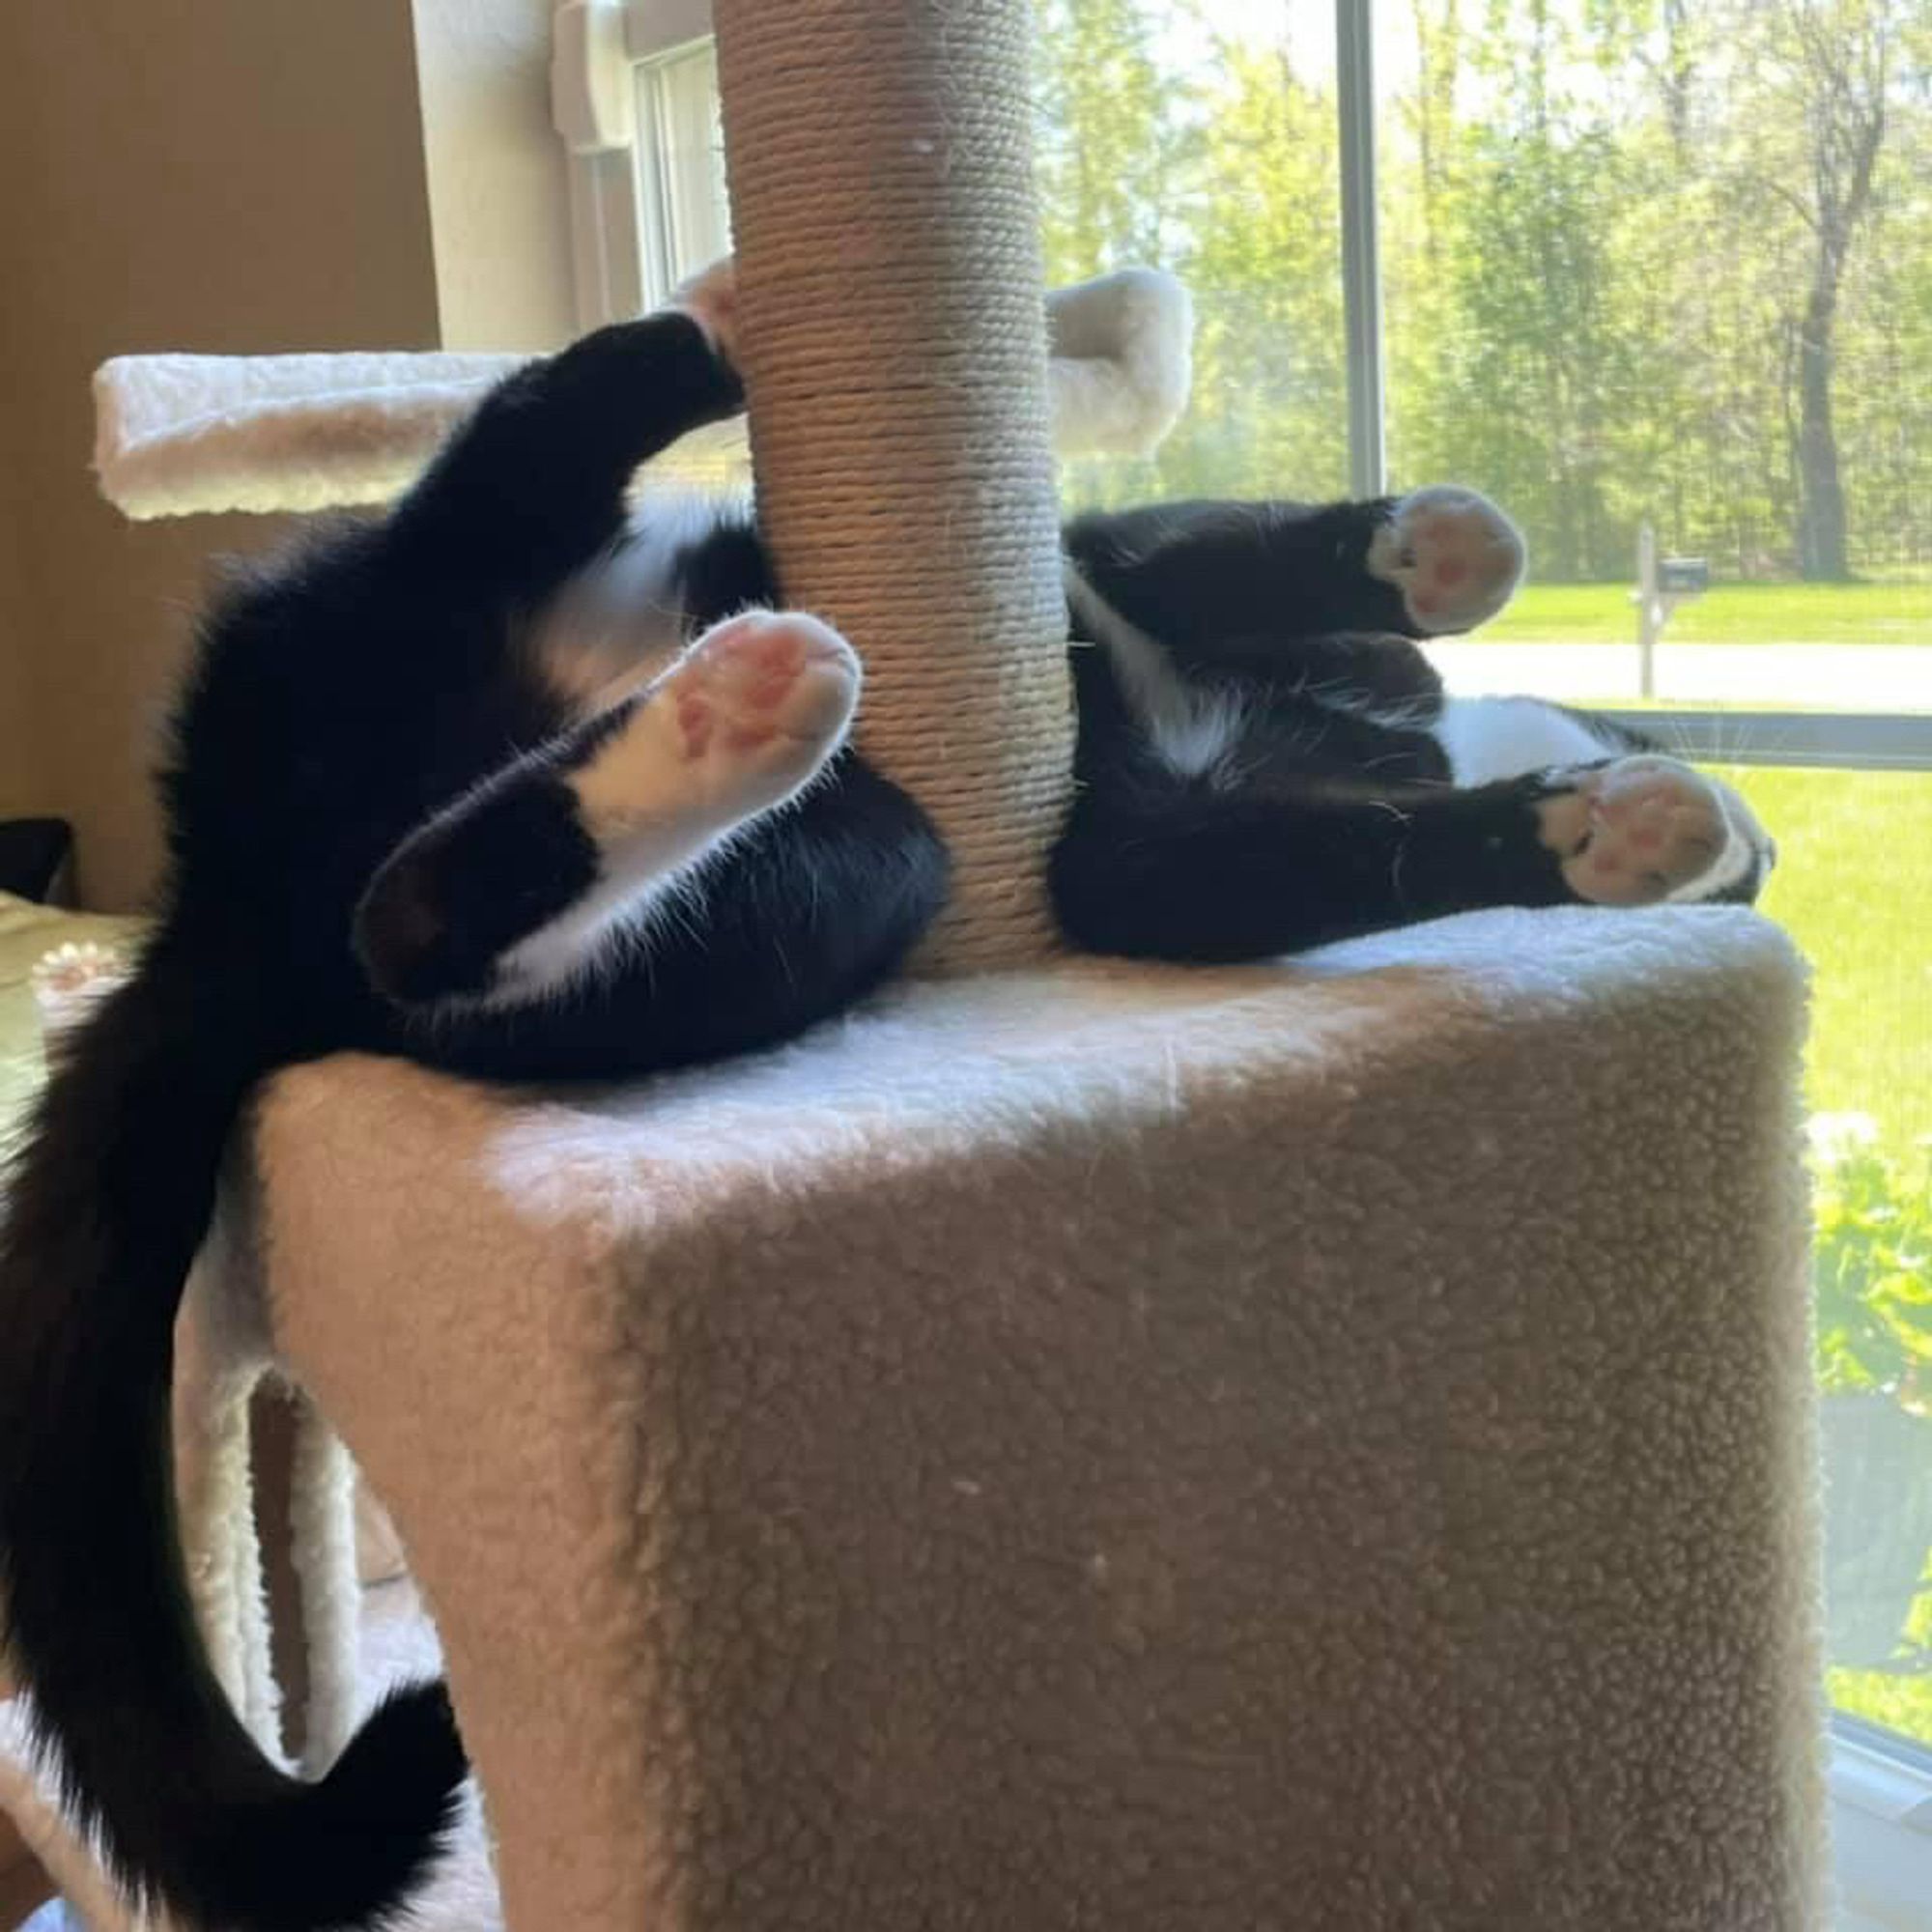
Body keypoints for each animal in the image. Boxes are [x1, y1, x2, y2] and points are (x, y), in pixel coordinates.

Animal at [0, 261, 1770, 1932]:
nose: (1753, 845)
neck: (1423, 736)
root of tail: (231, 890)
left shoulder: (1137, 864)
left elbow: (1293, 844)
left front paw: (1595, 827)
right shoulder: (1127, 584)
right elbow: (1192, 558)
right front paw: (1451, 567)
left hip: (838, 863)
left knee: (427, 909)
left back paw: (725, 705)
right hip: (403, 607)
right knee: (526, 473)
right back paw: (727, 416)